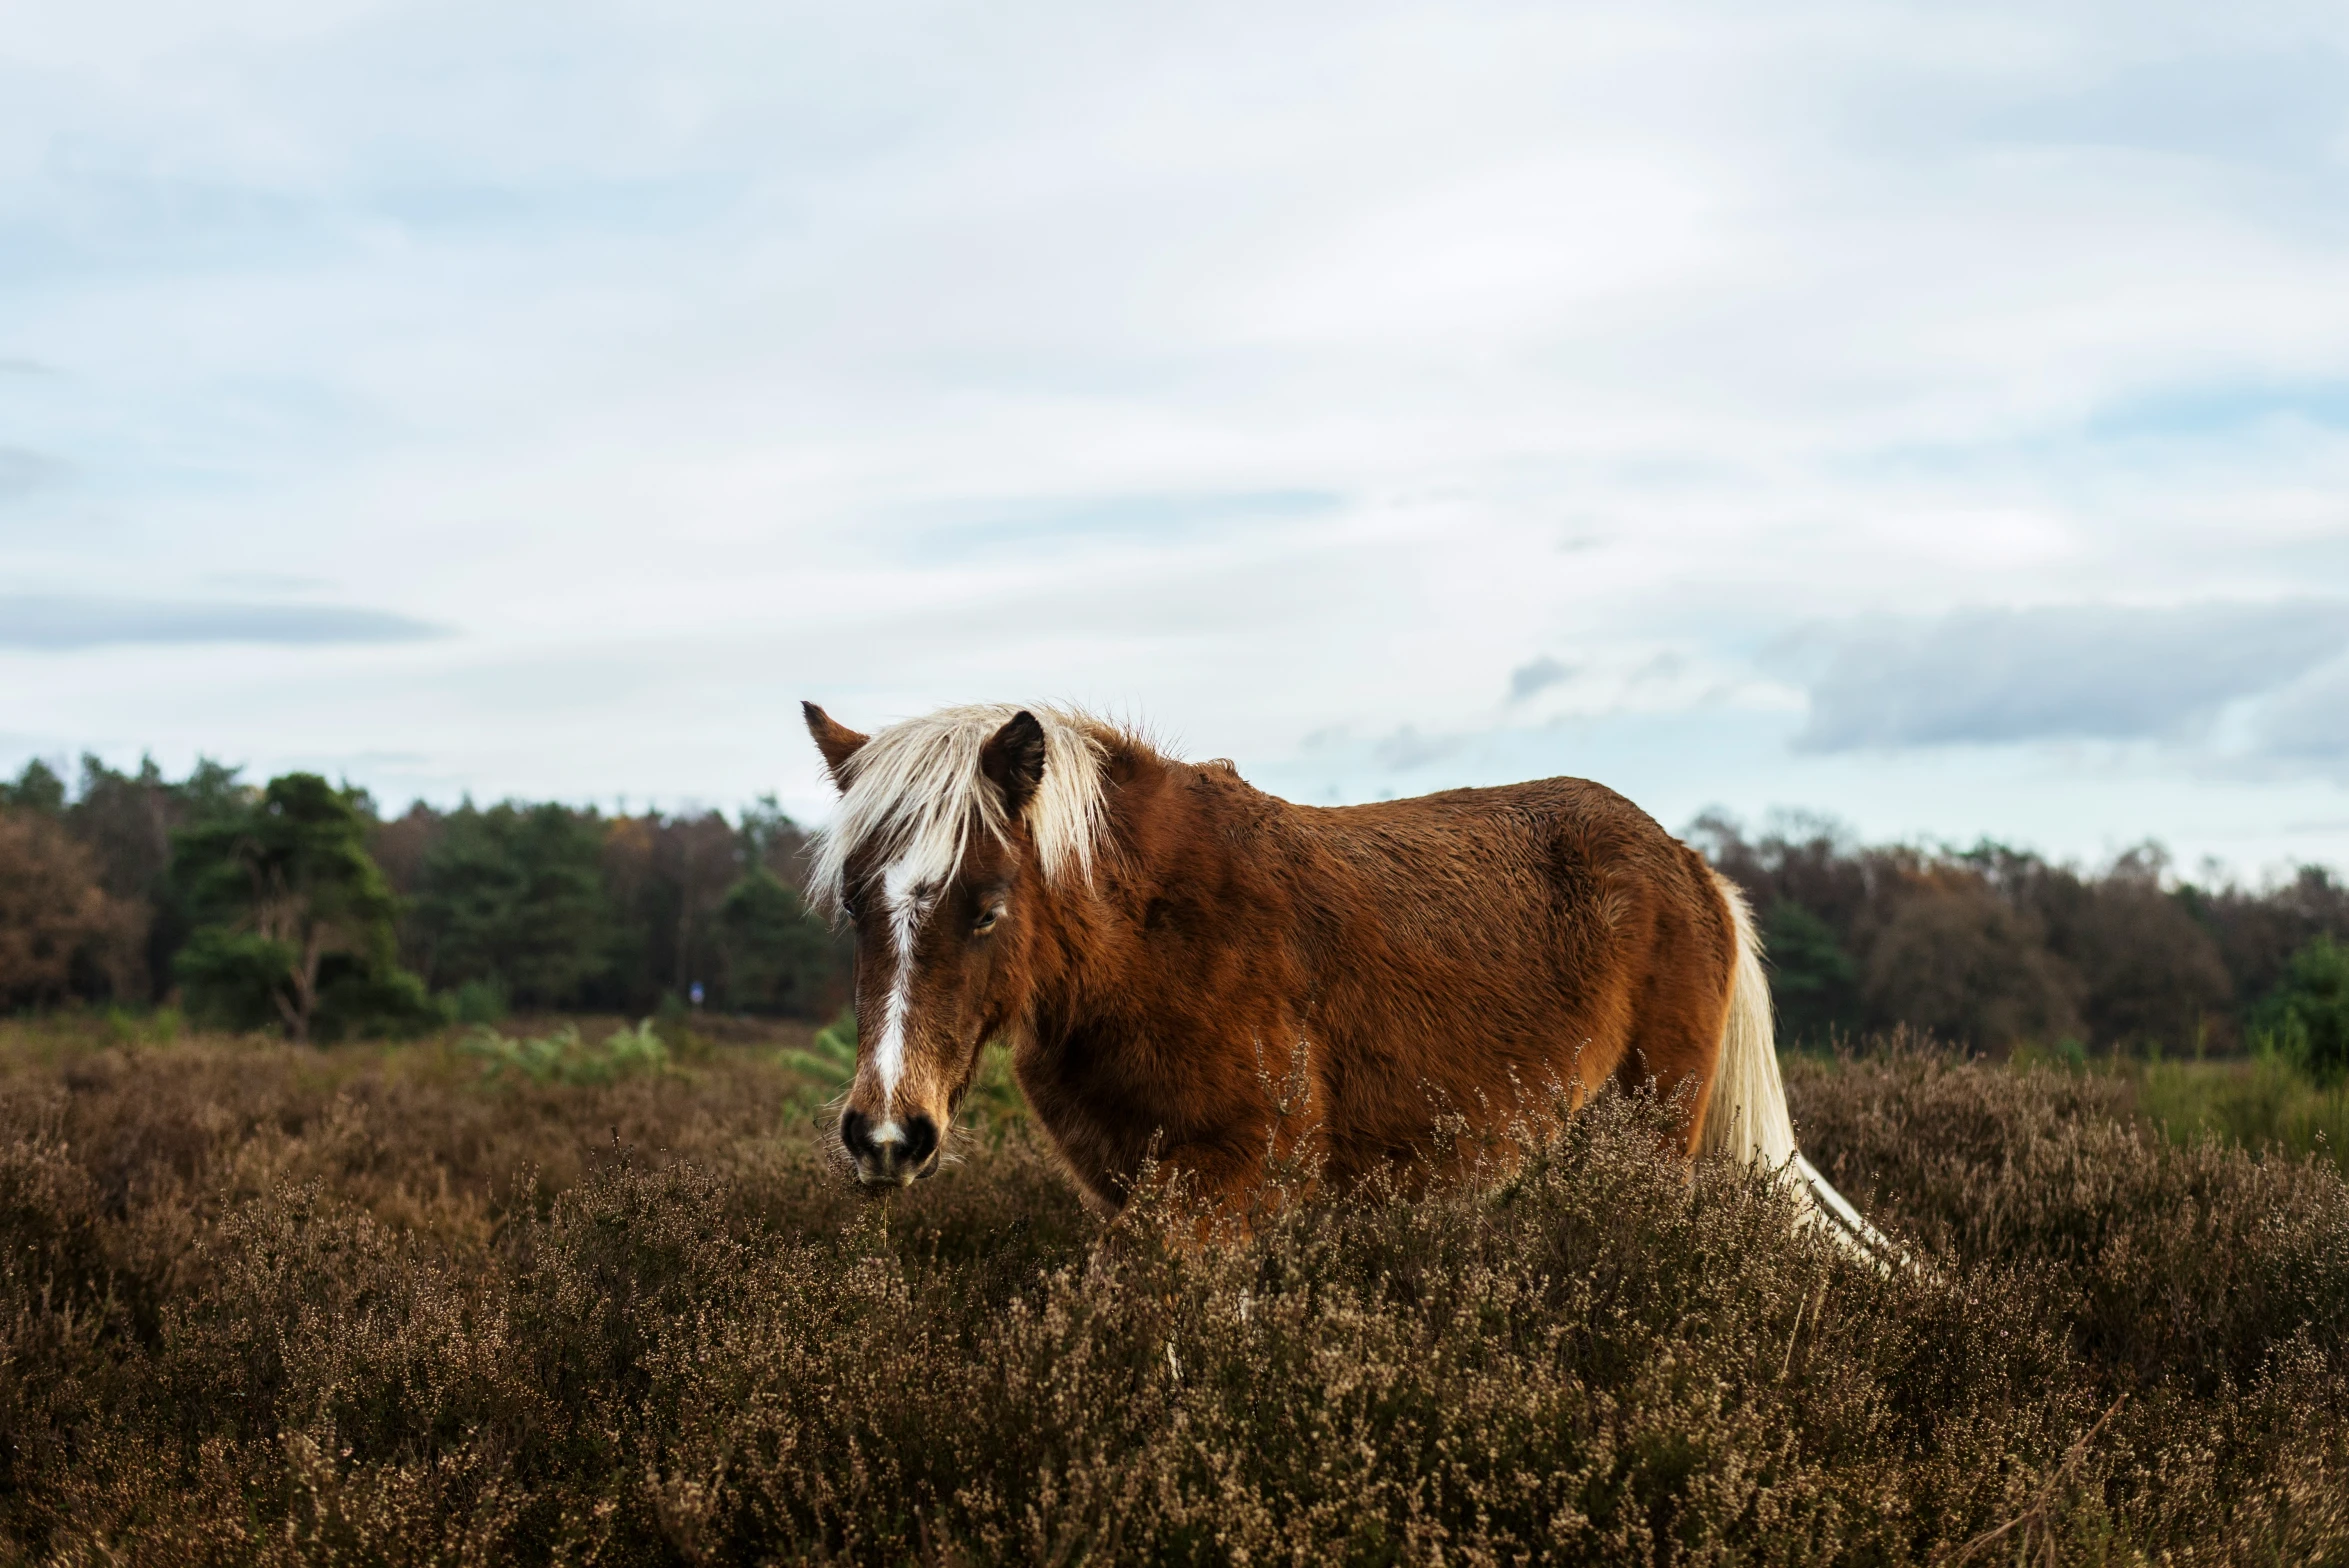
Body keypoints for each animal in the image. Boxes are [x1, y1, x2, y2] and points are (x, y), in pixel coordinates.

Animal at [803, 704, 1869, 1239]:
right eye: (855, 906)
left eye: (985, 906)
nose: (886, 1135)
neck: (1146, 946)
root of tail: (1690, 865)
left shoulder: (1225, 1192)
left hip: (1648, 1143)